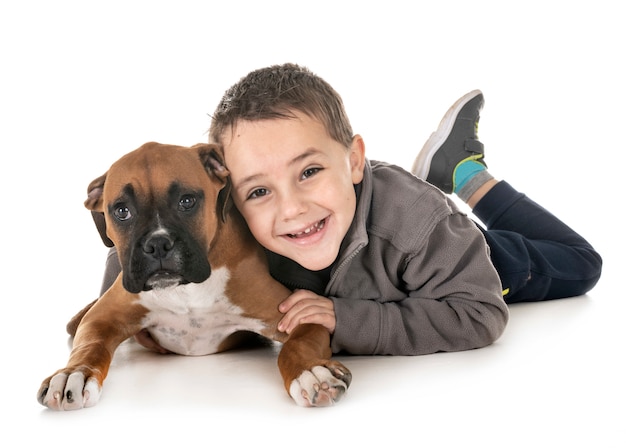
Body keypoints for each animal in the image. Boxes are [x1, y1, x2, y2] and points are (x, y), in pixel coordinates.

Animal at [37, 141, 352, 410]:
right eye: (122, 211)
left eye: (187, 201)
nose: (157, 244)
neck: (185, 291)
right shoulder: (100, 319)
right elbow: (89, 347)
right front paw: (73, 373)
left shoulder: (300, 315)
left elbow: (297, 346)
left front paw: (311, 372)